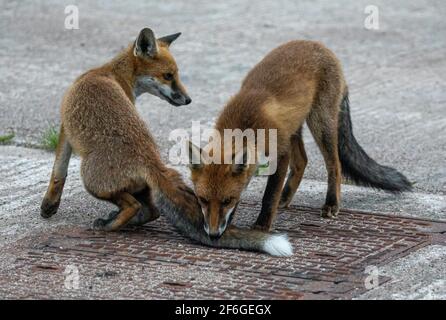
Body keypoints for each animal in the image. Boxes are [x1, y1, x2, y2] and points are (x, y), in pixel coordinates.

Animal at [40, 28, 292, 258]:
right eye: (169, 76)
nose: (188, 100)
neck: (108, 73)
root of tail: (153, 163)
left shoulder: (65, 129)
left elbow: (58, 172)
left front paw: (49, 205)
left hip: (90, 179)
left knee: (134, 206)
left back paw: (108, 225)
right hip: (140, 187)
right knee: (152, 211)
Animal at [187, 40, 412, 239]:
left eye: (227, 200)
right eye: (203, 200)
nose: (213, 234)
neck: (245, 121)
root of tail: (319, 45)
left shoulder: (280, 152)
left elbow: (269, 195)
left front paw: (262, 225)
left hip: (320, 124)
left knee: (335, 165)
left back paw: (331, 203)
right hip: (294, 128)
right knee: (302, 161)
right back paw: (286, 197)